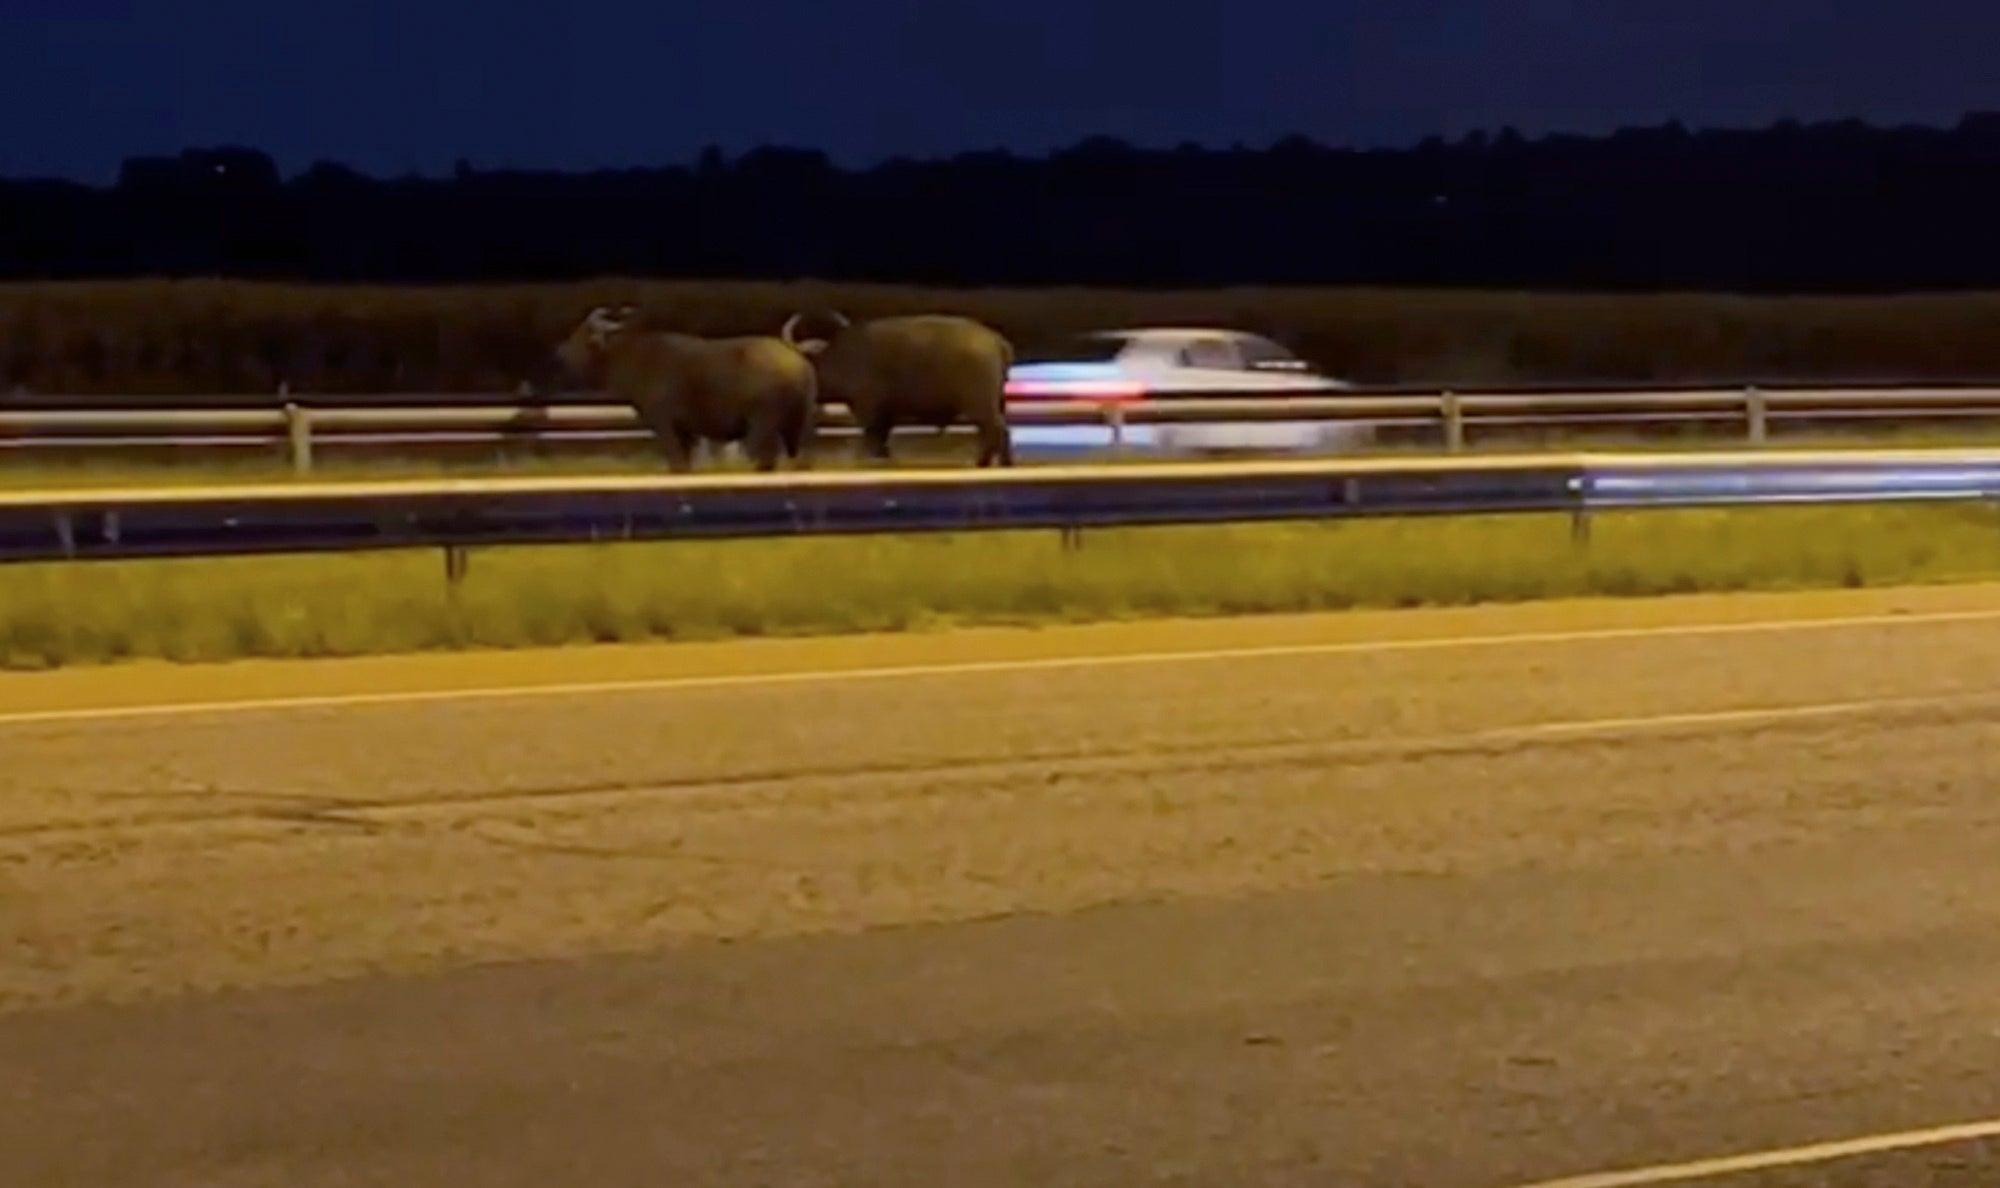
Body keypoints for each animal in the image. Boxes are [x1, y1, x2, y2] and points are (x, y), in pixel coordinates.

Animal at [552, 306, 816, 472]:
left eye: (582, 333)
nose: (561, 354)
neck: (639, 358)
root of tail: (796, 358)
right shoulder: (689, 433)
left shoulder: (666, 425)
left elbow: (677, 464)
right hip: (798, 427)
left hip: (762, 427)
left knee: (764, 459)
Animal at [780, 310, 1016, 468]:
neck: (841, 358)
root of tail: (994, 339)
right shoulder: (886, 414)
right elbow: (882, 440)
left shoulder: (868, 411)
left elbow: (873, 438)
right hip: (996, 403)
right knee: (998, 431)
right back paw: (1003, 462)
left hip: (980, 404)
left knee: (996, 430)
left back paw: (982, 462)